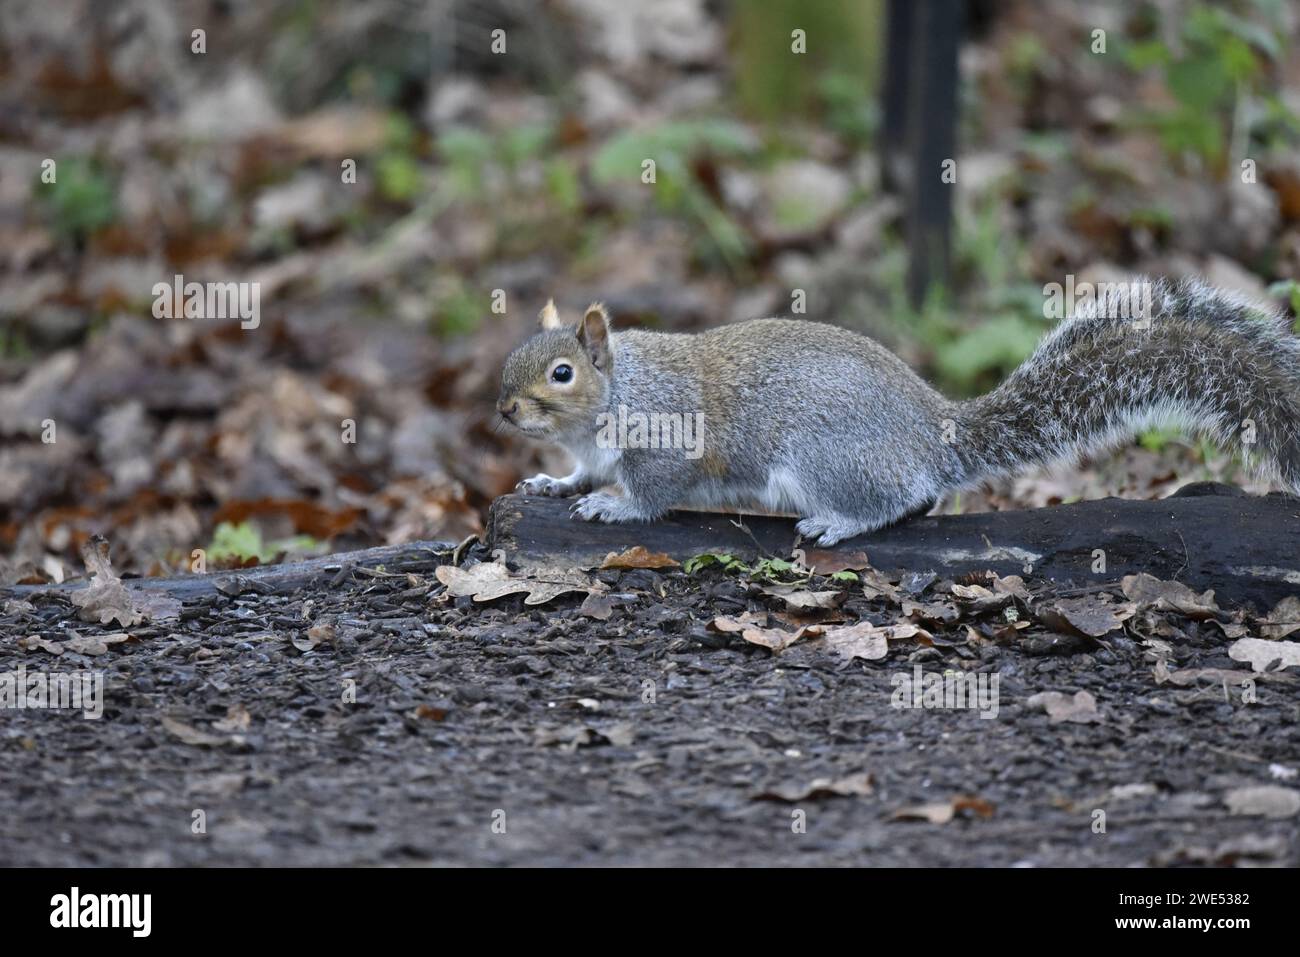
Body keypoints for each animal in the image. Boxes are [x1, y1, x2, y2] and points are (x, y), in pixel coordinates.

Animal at [496, 279, 1300, 545]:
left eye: (563, 372)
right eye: (515, 356)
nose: (504, 410)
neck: (618, 394)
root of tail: (934, 433)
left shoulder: (668, 437)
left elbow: (654, 490)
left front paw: (614, 506)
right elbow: (576, 474)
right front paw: (555, 484)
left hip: (823, 457)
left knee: (899, 498)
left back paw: (838, 523)